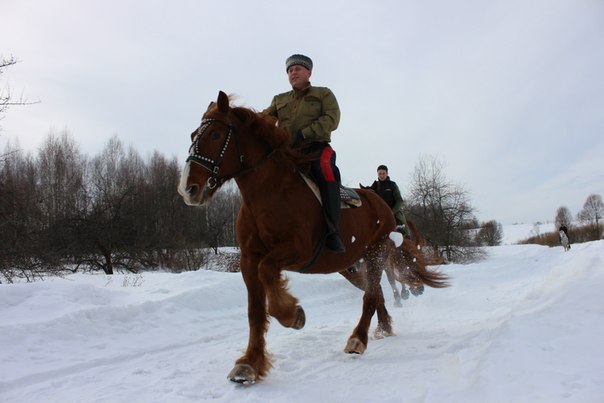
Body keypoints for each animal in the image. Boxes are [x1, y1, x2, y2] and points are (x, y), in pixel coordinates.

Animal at [178, 91, 447, 384]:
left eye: (215, 135)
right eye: (193, 135)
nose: (188, 189)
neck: (271, 193)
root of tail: (382, 205)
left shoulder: (297, 252)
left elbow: (268, 272)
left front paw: (292, 314)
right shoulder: (248, 259)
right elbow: (255, 312)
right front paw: (249, 363)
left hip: (375, 254)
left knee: (371, 296)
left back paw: (358, 339)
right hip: (353, 266)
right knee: (375, 292)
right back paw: (383, 327)